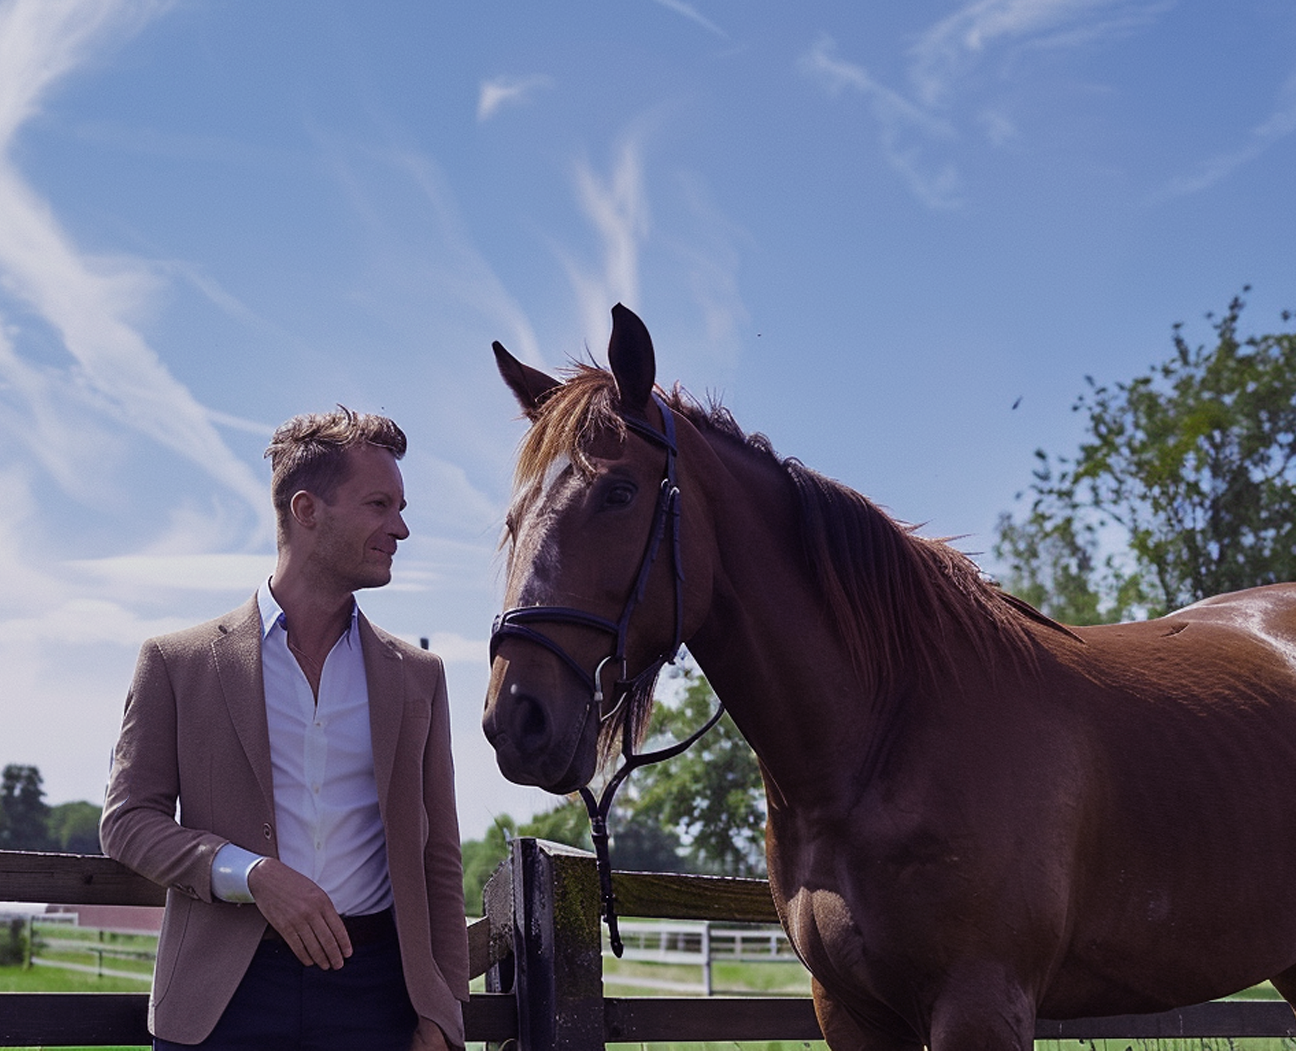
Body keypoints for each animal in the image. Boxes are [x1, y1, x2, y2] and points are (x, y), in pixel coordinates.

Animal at [482, 303, 1296, 1050]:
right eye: (513, 519)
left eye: (617, 494)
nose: (514, 719)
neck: (886, 732)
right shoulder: (850, 1009)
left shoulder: (981, 1004)